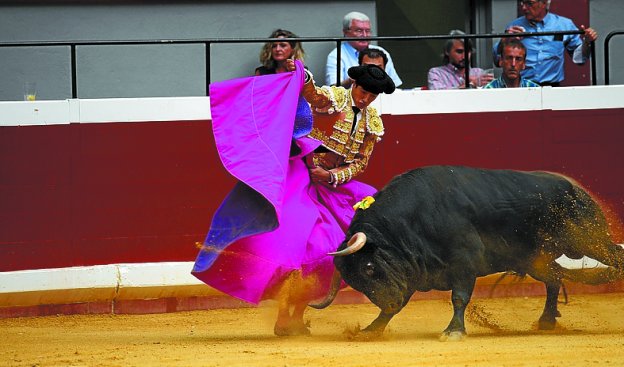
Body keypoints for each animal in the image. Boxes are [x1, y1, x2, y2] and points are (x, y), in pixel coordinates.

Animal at [312, 165, 624, 340]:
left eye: (368, 268)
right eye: (355, 284)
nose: (387, 302)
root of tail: (576, 189)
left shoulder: (463, 262)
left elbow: (459, 297)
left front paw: (453, 331)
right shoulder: (412, 270)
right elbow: (399, 305)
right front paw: (372, 329)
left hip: (589, 241)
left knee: (614, 259)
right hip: (536, 259)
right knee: (554, 278)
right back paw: (546, 321)